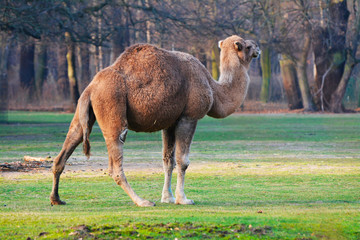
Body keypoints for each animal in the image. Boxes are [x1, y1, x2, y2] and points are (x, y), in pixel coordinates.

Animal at [49, 35, 260, 206]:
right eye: (247, 46)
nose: (258, 48)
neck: (214, 89)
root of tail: (91, 88)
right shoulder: (189, 117)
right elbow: (183, 160)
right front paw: (183, 199)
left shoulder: (170, 122)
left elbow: (168, 160)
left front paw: (168, 198)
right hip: (112, 107)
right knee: (115, 163)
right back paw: (142, 201)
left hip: (82, 112)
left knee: (67, 147)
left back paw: (56, 199)